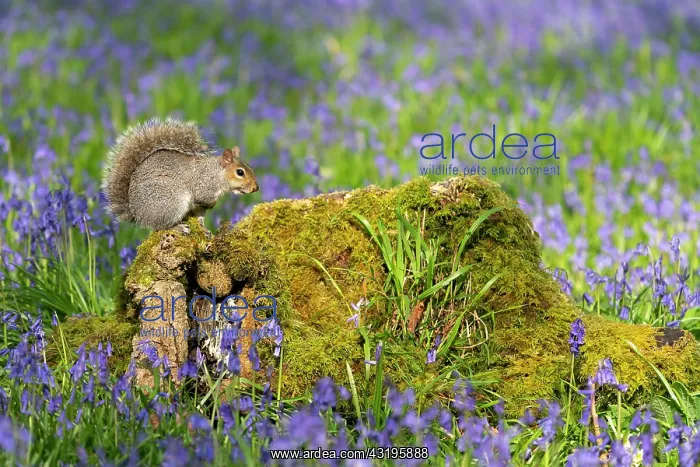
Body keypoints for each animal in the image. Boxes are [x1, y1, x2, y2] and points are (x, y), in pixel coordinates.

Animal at [102, 117, 259, 231]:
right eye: (240, 172)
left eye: (250, 167)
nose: (256, 188)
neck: (217, 173)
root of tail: (138, 215)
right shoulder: (204, 184)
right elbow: (203, 197)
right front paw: (213, 203)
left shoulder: (200, 206)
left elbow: (200, 215)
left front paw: (204, 228)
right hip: (171, 202)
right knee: (159, 226)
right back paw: (177, 227)